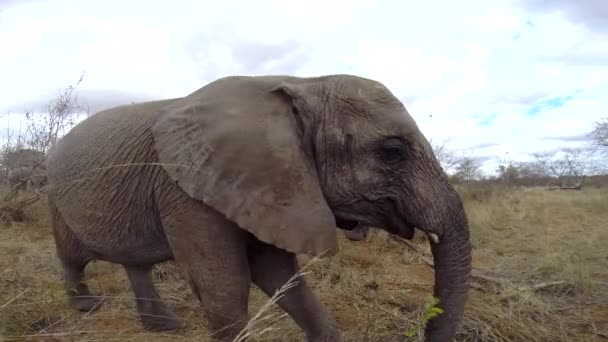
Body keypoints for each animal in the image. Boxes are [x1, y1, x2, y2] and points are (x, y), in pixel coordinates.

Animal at [47, 75, 472, 342]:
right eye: (392, 152)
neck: (302, 85)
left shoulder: (268, 185)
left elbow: (279, 274)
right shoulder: (187, 187)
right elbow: (226, 287)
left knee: (136, 264)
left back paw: (164, 327)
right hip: (54, 195)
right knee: (72, 256)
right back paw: (86, 308)